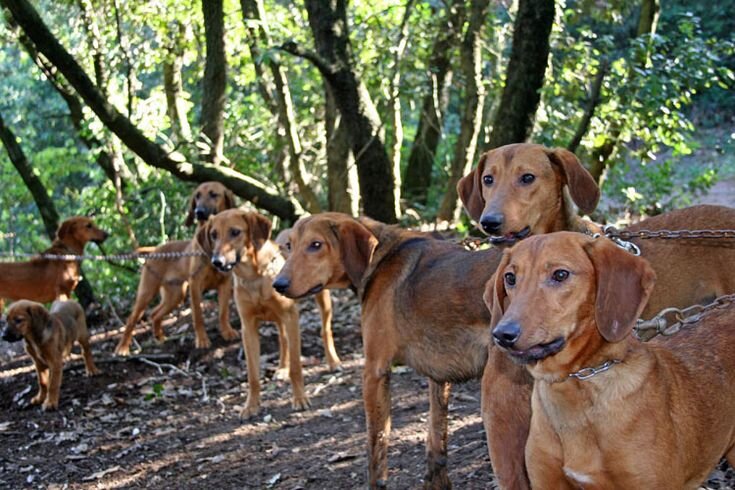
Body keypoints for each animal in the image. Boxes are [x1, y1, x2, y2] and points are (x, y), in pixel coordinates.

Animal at [115, 182, 237, 354]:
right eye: (197, 196)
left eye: (214, 194)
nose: (198, 212)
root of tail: (154, 251)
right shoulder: (195, 286)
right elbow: (198, 316)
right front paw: (202, 340)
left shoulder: (225, 284)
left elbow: (223, 312)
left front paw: (227, 331)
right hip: (147, 292)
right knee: (132, 318)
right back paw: (123, 347)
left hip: (175, 295)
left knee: (155, 313)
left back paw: (159, 337)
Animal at [198, 210, 342, 418]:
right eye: (213, 234)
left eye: (235, 232)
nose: (217, 262)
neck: (254, 276)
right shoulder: (248, 327)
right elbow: (252, 374)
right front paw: (251, 406)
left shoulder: (291, 318)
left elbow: (296, 367)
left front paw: (300, 399)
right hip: (279, 318)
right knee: (282, 340)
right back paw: (281, 368)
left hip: (321, 298)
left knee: (325, 330)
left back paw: (333, 362)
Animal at [274, 213, 504, 490]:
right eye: (289, 245)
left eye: (316, 245)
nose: (278, 285)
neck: (380, 258)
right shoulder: (438, 377)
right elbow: (436, 440)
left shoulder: (374, 371)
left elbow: (377, 444)